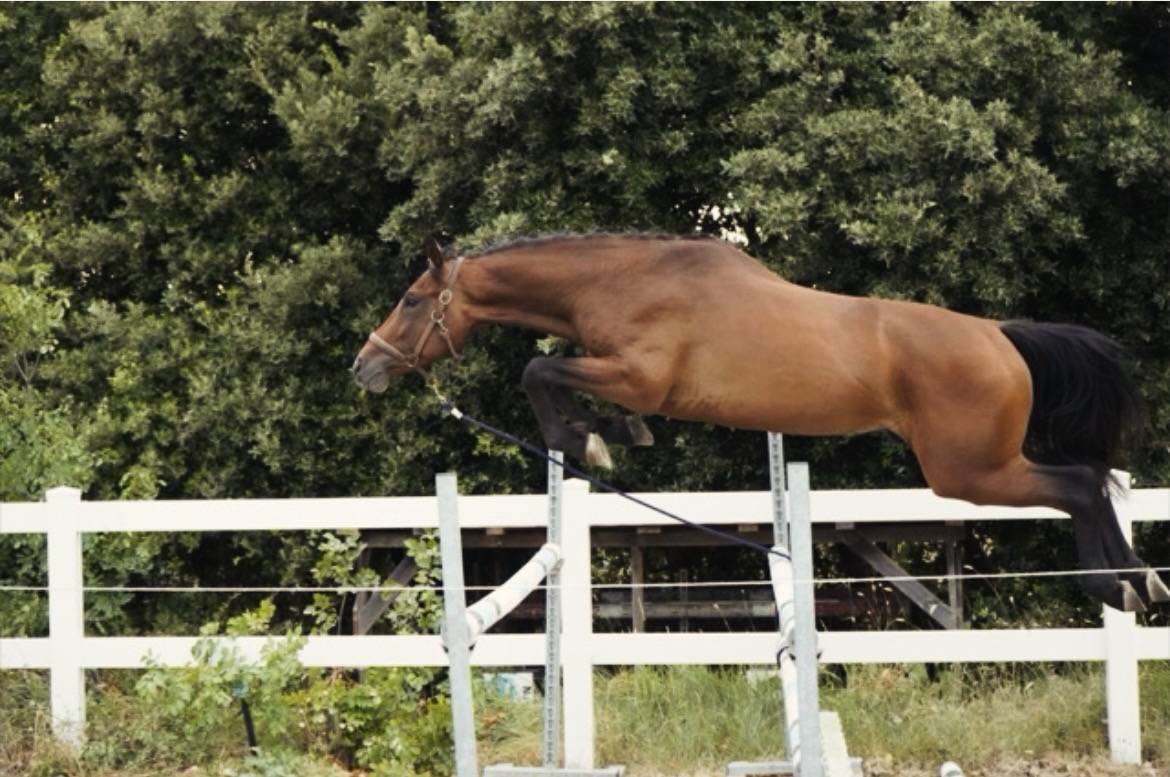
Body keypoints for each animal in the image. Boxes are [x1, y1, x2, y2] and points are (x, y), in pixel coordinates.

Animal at [352, 233, 1169, 613]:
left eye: (413, 300)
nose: (366, 366)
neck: (623, 279)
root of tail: (1000, 335)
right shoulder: (633, 379)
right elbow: (564, 381)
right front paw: (610, 435)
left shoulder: (641, 374)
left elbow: (539, 372)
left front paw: (582, 440)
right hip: (977, 467)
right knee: (1092, 479)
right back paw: (1141, 581)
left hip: (968, 470)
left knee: (1080, 484)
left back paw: (1118, 584)